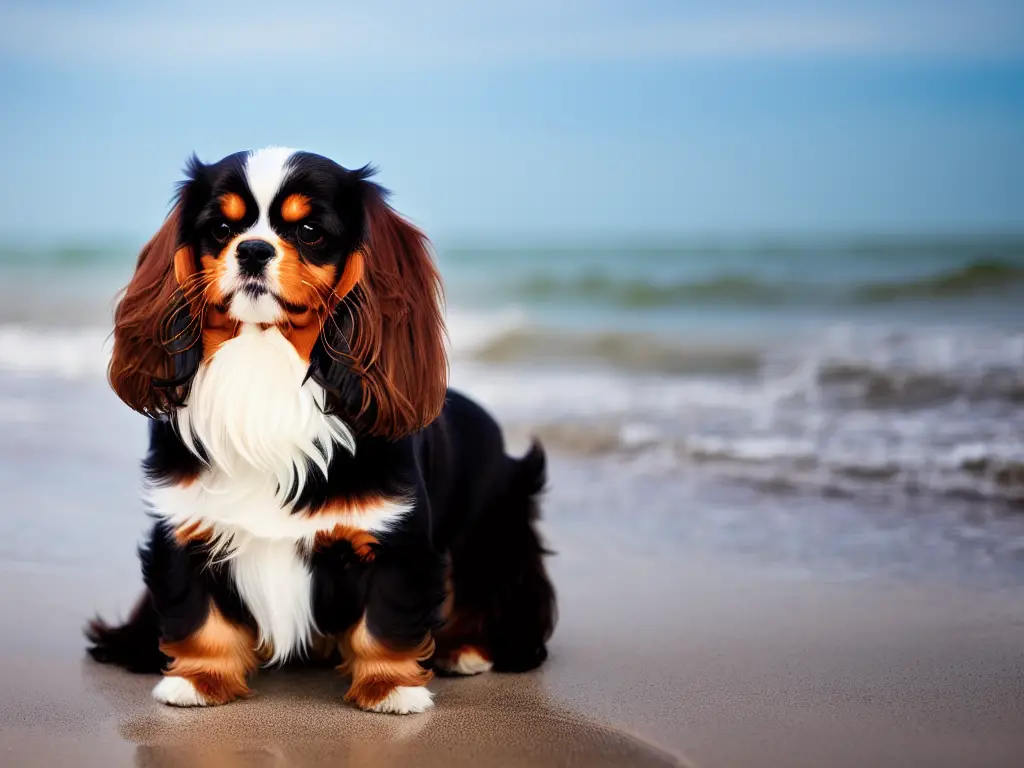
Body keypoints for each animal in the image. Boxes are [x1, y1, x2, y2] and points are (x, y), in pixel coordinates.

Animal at [83, 148, 557, 716]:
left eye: (309, 230)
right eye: (220, 228)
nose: (254, 249)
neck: (265, 355)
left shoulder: (396, 539)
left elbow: (385, 622)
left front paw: (391, 689)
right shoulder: (185, 526)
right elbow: (199, 616)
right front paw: (198, 680)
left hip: (496, 536)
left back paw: (465, 651)